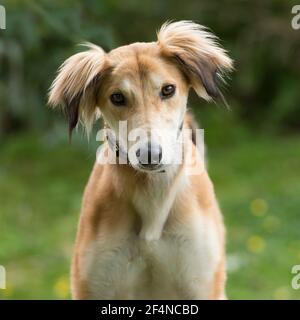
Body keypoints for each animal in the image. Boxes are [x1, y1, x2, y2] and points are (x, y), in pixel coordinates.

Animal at [48, 21, 232, 298]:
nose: (150, 155)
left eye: (168, 89)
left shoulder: (201, 284)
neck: (152, 198)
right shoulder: (93, 286)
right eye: (117, 97)